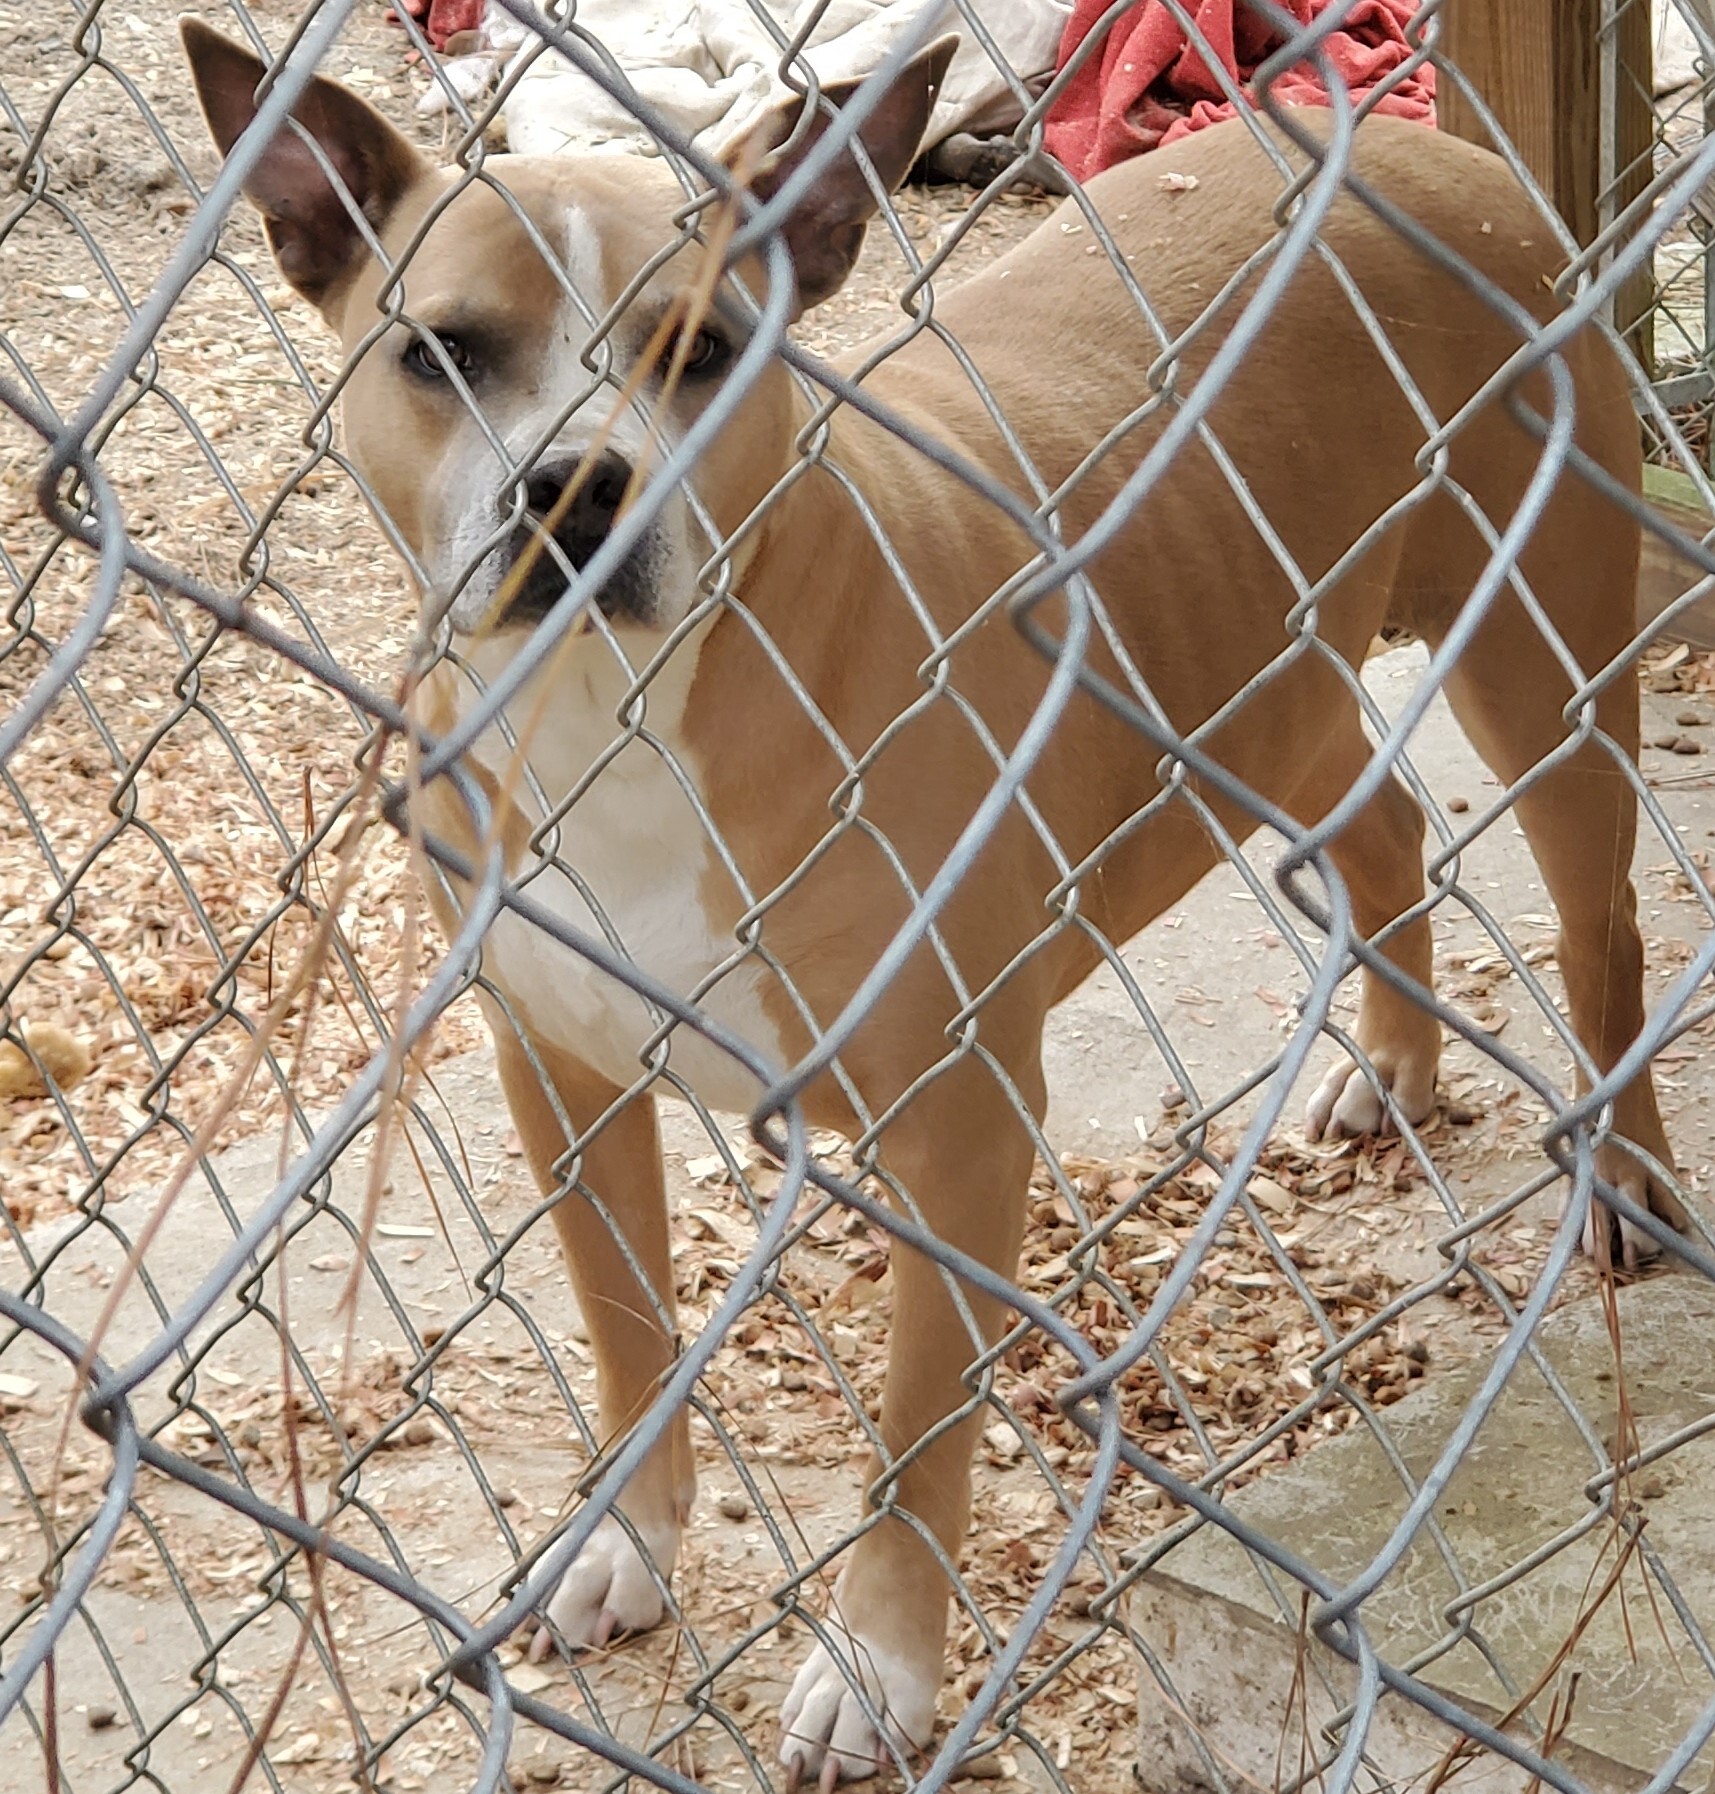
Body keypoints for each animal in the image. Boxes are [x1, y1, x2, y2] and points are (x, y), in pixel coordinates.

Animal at [181, 21, 1679, 1786]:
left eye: (703, 348)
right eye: (442, 352)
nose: (575, 487)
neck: (620, 719)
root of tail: (1414, 144)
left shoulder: (956, 1118)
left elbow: (913, 1428)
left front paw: (876, 1666)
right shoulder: (558, 1069)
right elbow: (624, 1328)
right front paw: (624, 1535)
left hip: (1538, 649)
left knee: (1602, 928)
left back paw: (1622, 1172)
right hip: (1264, 688)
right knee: (1377, 824)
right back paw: (1386, 1061)